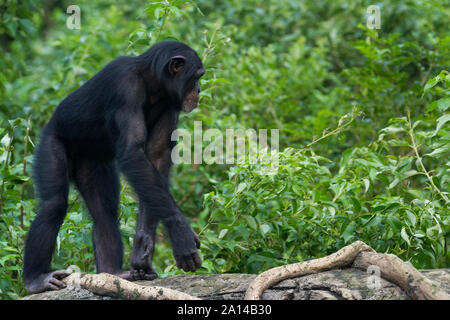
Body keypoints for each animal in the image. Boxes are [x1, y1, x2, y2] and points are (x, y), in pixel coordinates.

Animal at [23, 41, 206, 294]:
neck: (151, 82)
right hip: (51, 142)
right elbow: (132, 152)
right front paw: (180, 232)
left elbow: (156, 156)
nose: (198, 89)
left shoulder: (171, 103)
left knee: (103, 212)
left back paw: (114, 273)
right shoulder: (124, 88)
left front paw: (142, 248)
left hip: (92, 162)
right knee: (53, 206)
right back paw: (36, 279)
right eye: (197, 76)